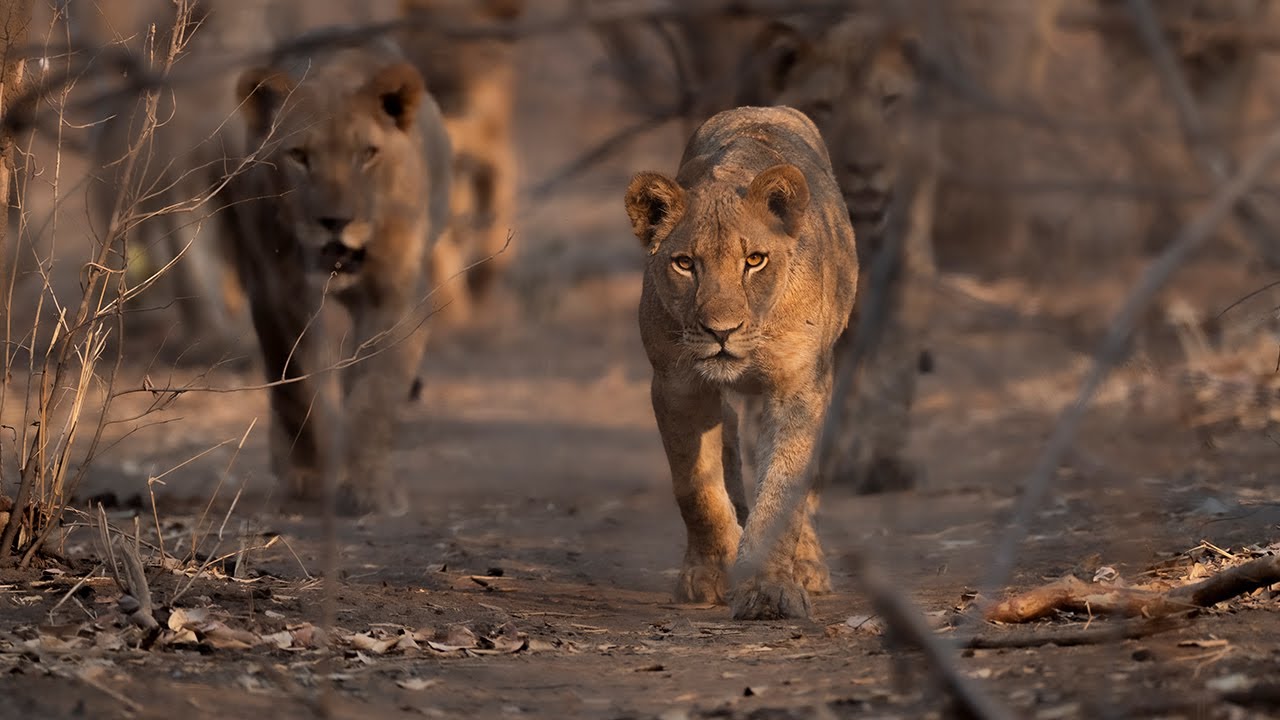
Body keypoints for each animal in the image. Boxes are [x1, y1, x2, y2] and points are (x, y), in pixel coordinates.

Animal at [231, 36, 451, 514]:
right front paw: (308, 477)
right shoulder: (278, 293)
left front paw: (370, 488)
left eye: (366, 154)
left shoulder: (397, 295)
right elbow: (296, 387)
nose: (335, 221)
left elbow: (375, 391)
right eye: (299, 156)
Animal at [625, 106, 858, 620]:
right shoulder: (677, 385)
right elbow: (697, 489)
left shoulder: (798, 386)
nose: (721, 331)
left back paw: (808, 566)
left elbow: (784, 491)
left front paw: (770, 590)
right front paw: (710, 574)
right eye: (685, 264)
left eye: (754, 260)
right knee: (728, 449)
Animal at [747, 15, 938, 494]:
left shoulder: (903, 283)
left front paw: (887, 465)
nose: (866, 167)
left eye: (889, 101)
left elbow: (891, 377)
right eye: (825, 106)